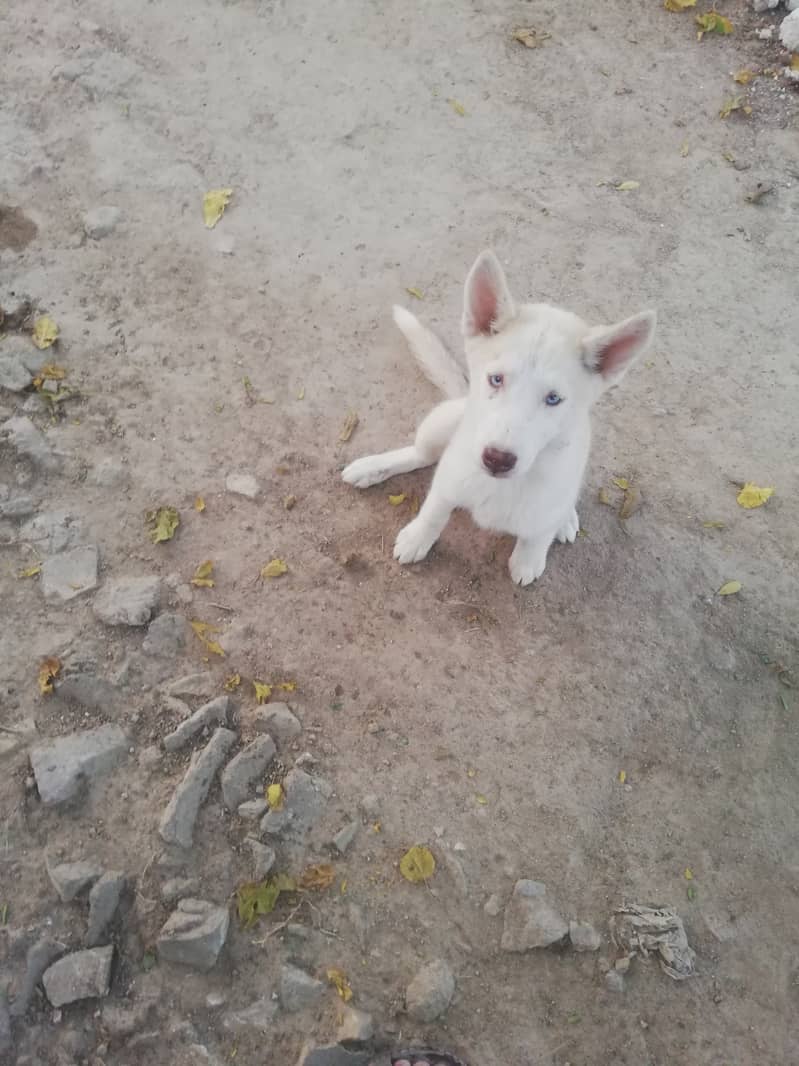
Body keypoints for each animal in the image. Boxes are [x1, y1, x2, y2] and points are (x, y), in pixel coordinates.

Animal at [345, 251, 656, 584]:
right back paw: (370, 468)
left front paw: (528, 558)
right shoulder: (449, 479)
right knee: (420, 455)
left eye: (553, 399)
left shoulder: (550, 496)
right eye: (496, 379)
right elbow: (435, 510)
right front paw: (418, 537)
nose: (497, 459)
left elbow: (538, 533)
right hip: (441, 422)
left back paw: (566, 519)